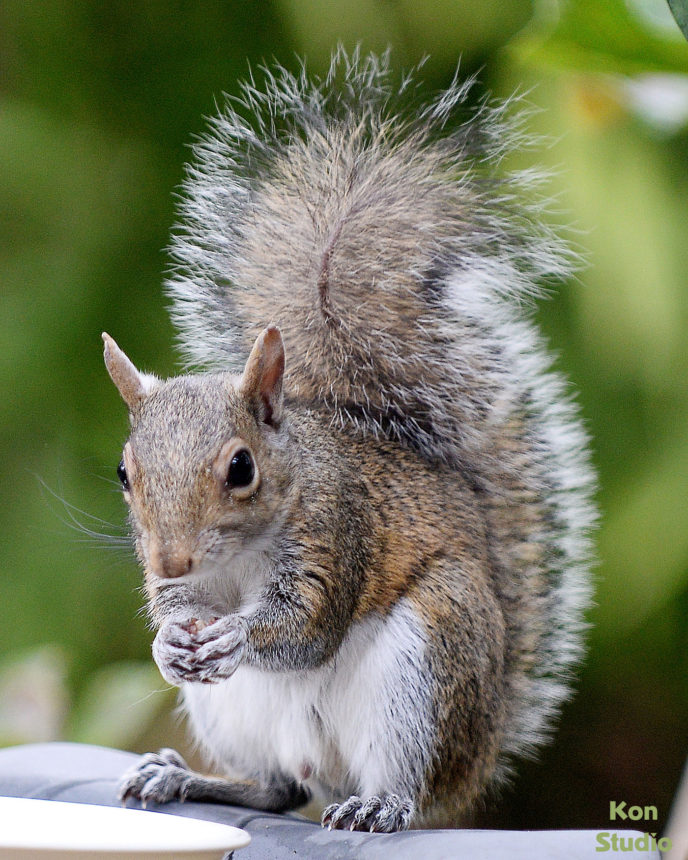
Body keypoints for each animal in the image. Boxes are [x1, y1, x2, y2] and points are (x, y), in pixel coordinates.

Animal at [105, 50, 592, 828]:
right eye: (126, 474)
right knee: (278, 789)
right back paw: (181, 777)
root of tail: (477, 758)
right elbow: (177, 614)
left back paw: (380, 808)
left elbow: (307, 630)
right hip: (233, 717)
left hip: (428, 660)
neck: (239, 555)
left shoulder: (338, 535)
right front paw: (168, 643)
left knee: (399, 783)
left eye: (240, 468)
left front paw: (236, 634)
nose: (171, 559)